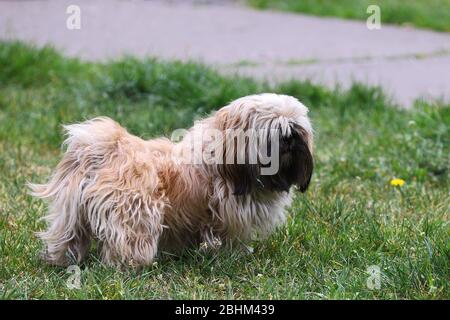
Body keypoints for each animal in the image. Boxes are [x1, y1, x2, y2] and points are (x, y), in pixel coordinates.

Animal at [29, 93, 314, 268]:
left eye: (297, 130)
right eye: (275, 130)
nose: (290, 139)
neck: (222, 160)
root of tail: (104, 150)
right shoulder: (229, 218)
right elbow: (229, 239)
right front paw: (233, 255)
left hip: (69, 213)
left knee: (67, 237)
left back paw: (61, 259)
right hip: (137, 213)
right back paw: (132, 265)